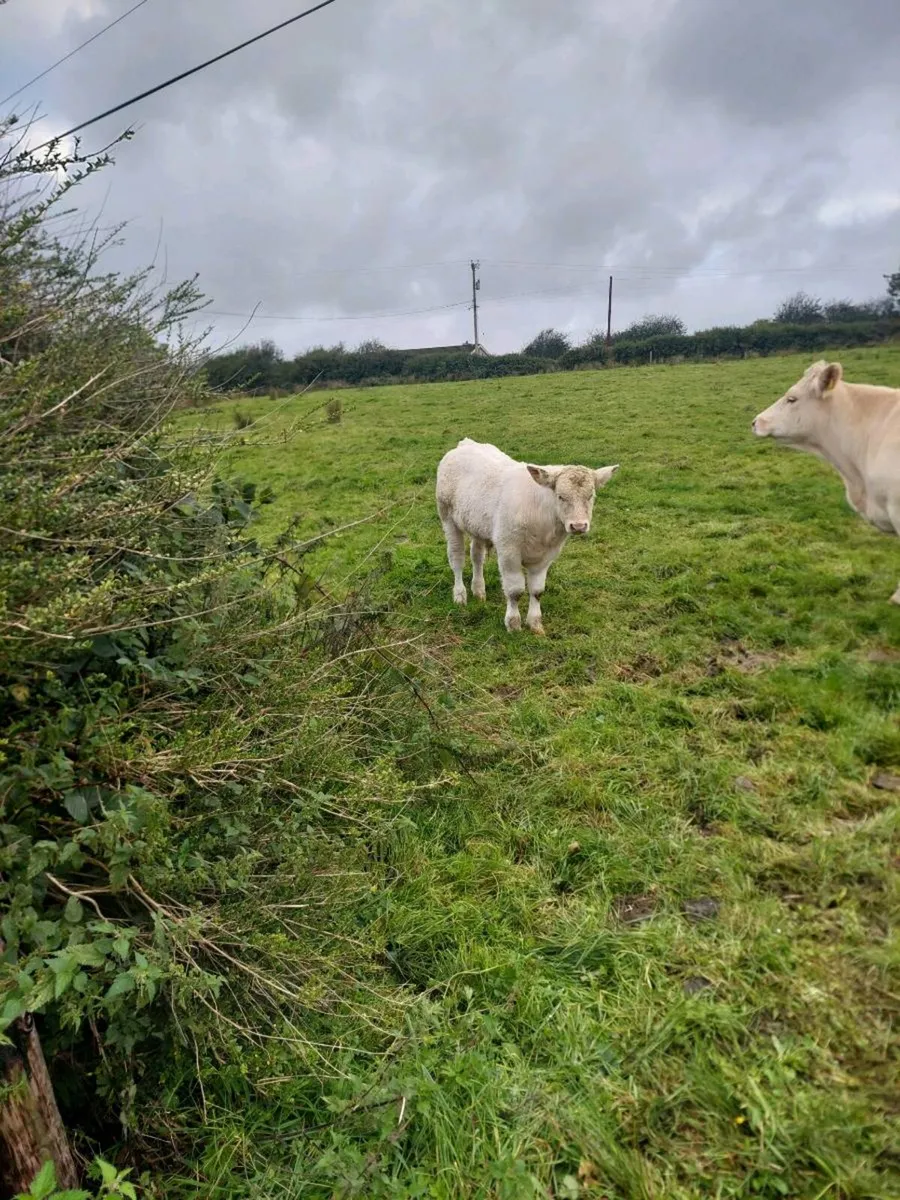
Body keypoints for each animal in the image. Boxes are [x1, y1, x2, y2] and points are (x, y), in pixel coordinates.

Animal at [435, 437, 619, 634]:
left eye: (591, 496)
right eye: (560, 496)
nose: (578, 526)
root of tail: (466, 443)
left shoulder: (546, 556)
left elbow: (537, 590)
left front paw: (535, 624)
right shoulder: (508, 551)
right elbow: (515, 590)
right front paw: (513, 624)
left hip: (477, 525)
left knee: (477, 557)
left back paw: (478, 590)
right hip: (447, 517)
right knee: (457, 559)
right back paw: (460, 595)